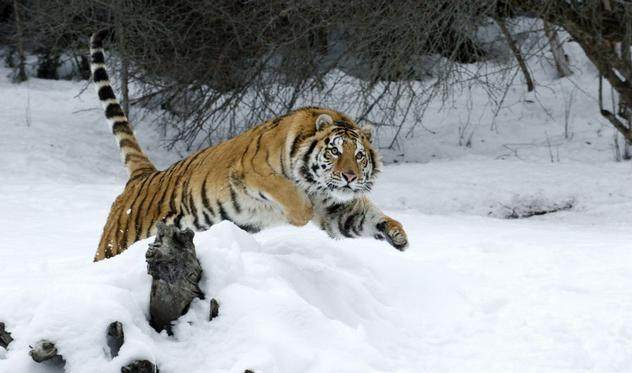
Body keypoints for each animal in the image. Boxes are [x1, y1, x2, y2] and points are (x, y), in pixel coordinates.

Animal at [90, 29, 410, 262]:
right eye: (334, 151)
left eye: (359, 156)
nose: (349, 177)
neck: (316, 184)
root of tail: (143, 175)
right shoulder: (253, 173)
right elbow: (293, 198)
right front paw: (298, 215)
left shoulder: (335, 209)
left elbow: (367, 218)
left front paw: (398, 234)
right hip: (115, 242)